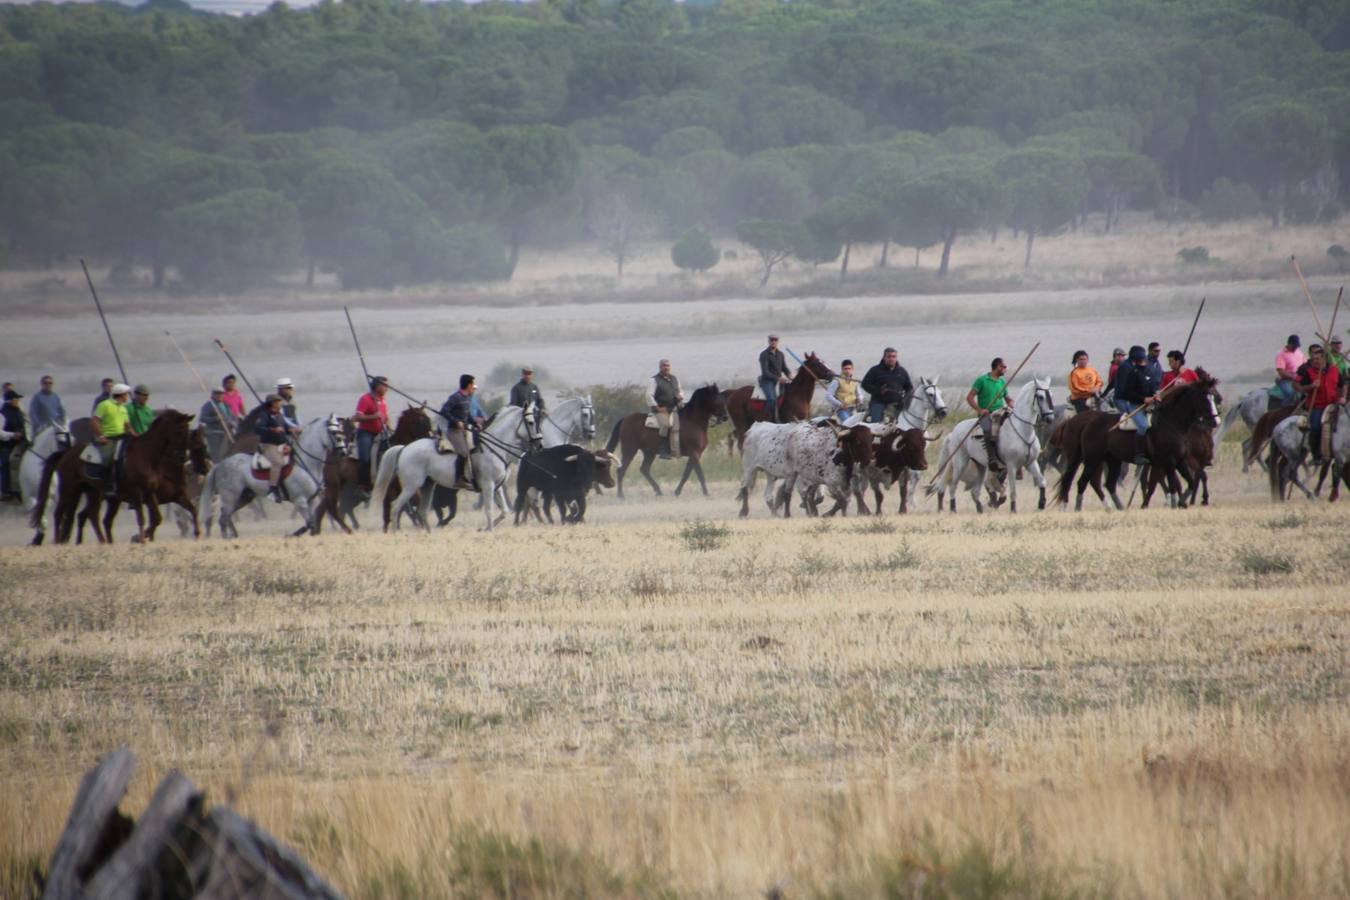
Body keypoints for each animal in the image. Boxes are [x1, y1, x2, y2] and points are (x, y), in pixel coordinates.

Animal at [32, 412, 202, 545]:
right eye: (179, 431)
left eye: (188, 433)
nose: (183, 457)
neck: (148, 457)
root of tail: (66, 453)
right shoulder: (137, 493)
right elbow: (143, 518)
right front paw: (140, 538)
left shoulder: (153, 493)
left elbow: (165, 516)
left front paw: (197, 534)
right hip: (69, 488)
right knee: (61, 513)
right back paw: (59, 541)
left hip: (94, 492)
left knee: (94, 516)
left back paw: (103, 541)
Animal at [928, 375, 1053, 512]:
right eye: (1040, 396)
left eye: (1050, 394)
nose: (1050, 418)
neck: (1022, 430)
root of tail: (954, 431)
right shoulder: (1011, 465)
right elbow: (1013, 491)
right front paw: (1013, 510)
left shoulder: (1030, 462)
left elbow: (1042, 481)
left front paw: (1041, 504)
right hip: (960, 462)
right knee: (953, 487)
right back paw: (953, 509)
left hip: (980, 466)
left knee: (975, 491)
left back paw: (980, 510)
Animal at [1053, 372, 1225, 512]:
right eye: (1205, 398)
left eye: (1213, 397)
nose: (1216, 421)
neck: (1171, 423)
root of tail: (1087, 422)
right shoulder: (1168, 461)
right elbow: (1172, 484)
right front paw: (1174, 504)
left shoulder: (1179, 460)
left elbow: (1188, 482)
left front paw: (1181, 503)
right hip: (1092, 459)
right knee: (1082, 482)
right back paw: (1078, 508)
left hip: (1112, 460)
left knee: (1108, 484)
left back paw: (1119, 508)